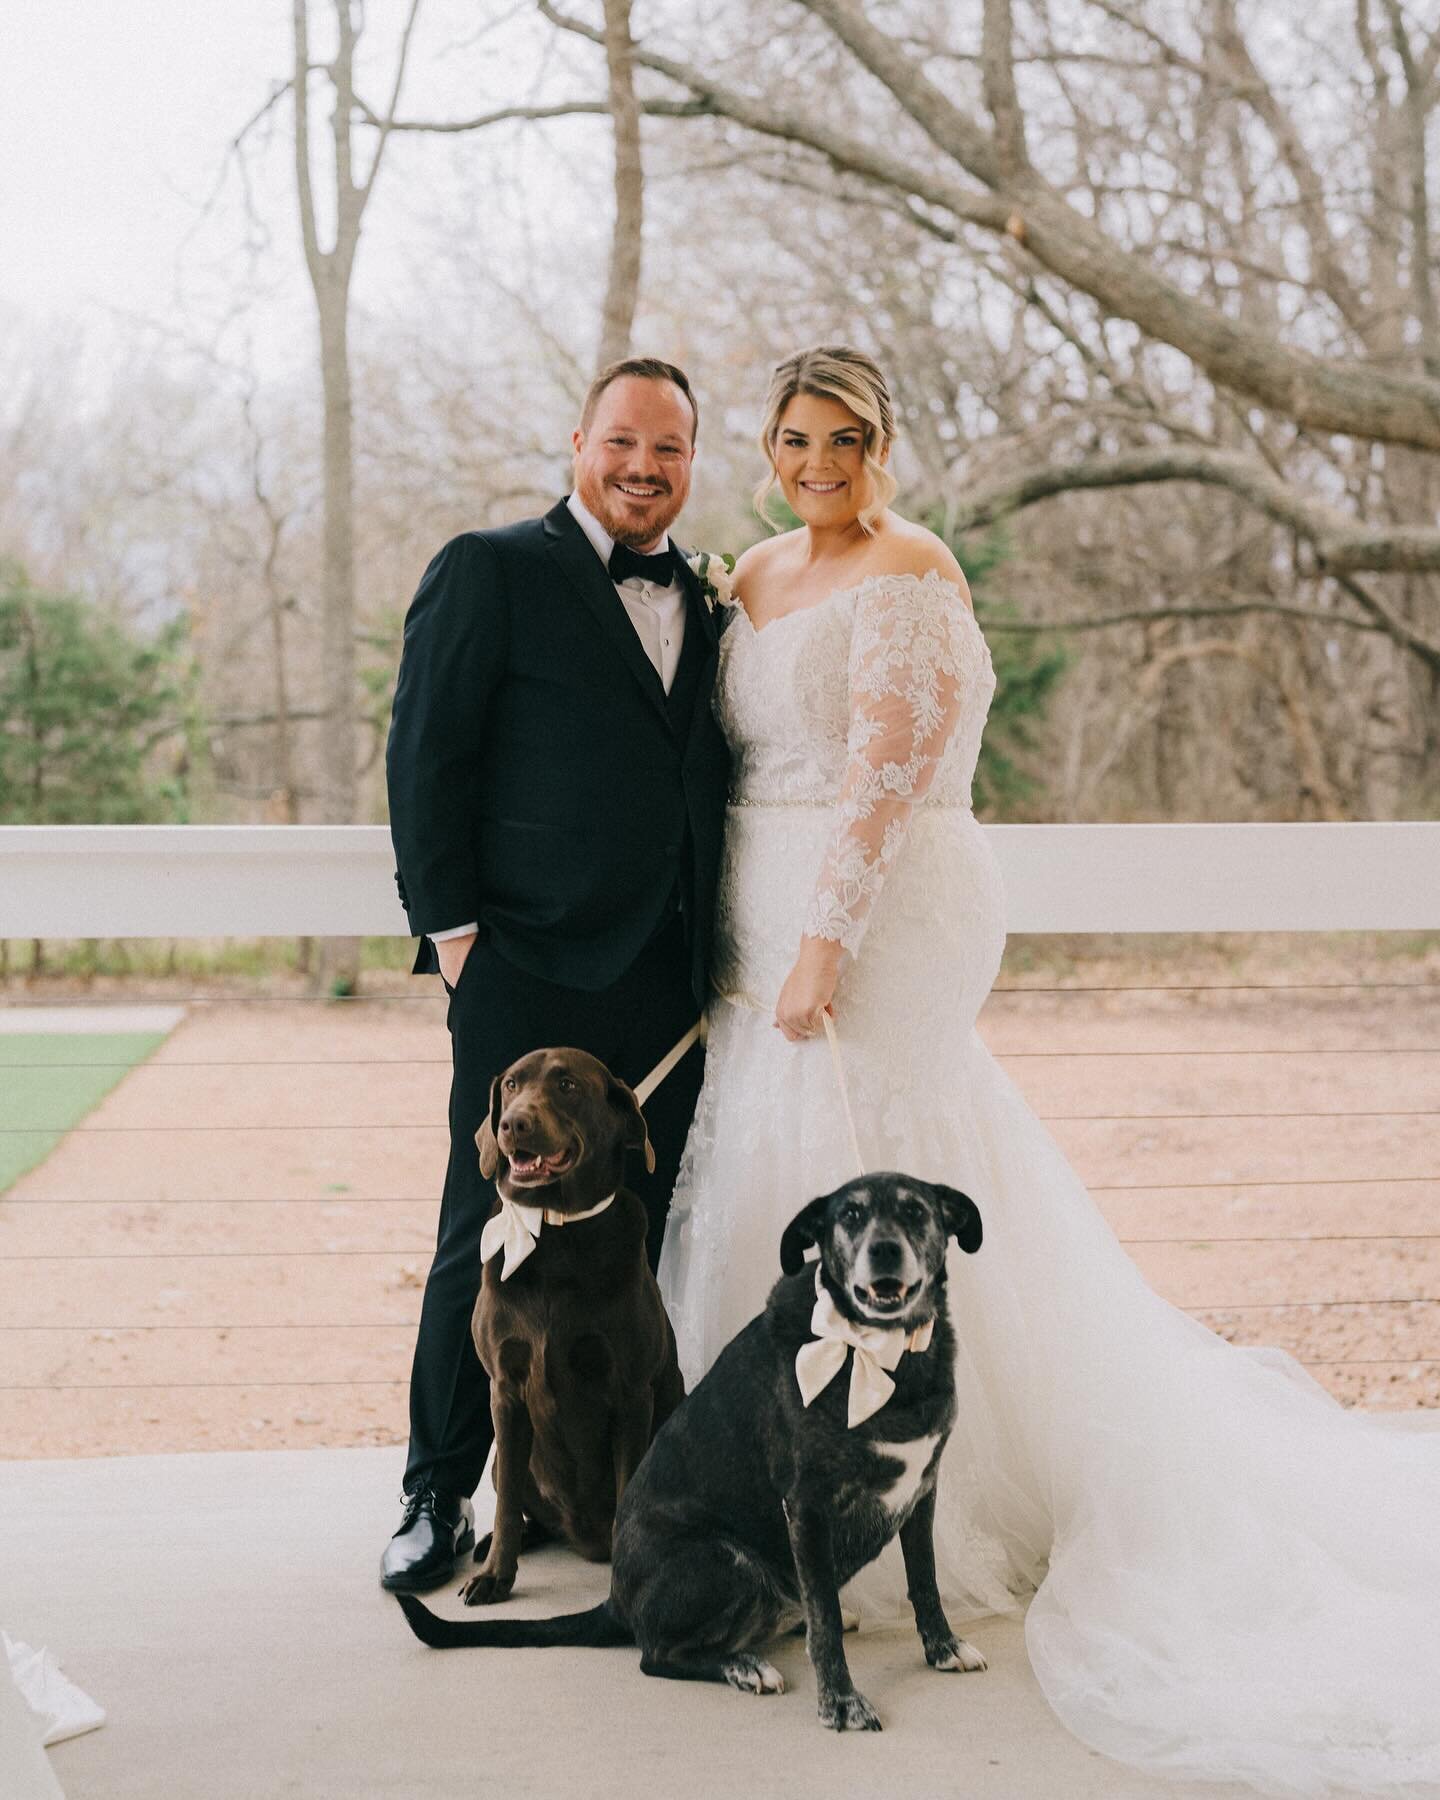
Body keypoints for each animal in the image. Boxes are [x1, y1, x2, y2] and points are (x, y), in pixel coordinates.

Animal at [399, 1166, 986, 1728]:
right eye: (850, 1215)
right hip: (726, 1559)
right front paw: (841, 1702)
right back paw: (743, 1666)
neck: (881, 1355)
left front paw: (942, 1648)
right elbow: (827, 1624)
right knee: (655, 1655)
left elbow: (924, 1580)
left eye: (915, 1211)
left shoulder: (921, 1490)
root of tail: (616, 1602)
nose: (885, 1250)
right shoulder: (808, 1508)